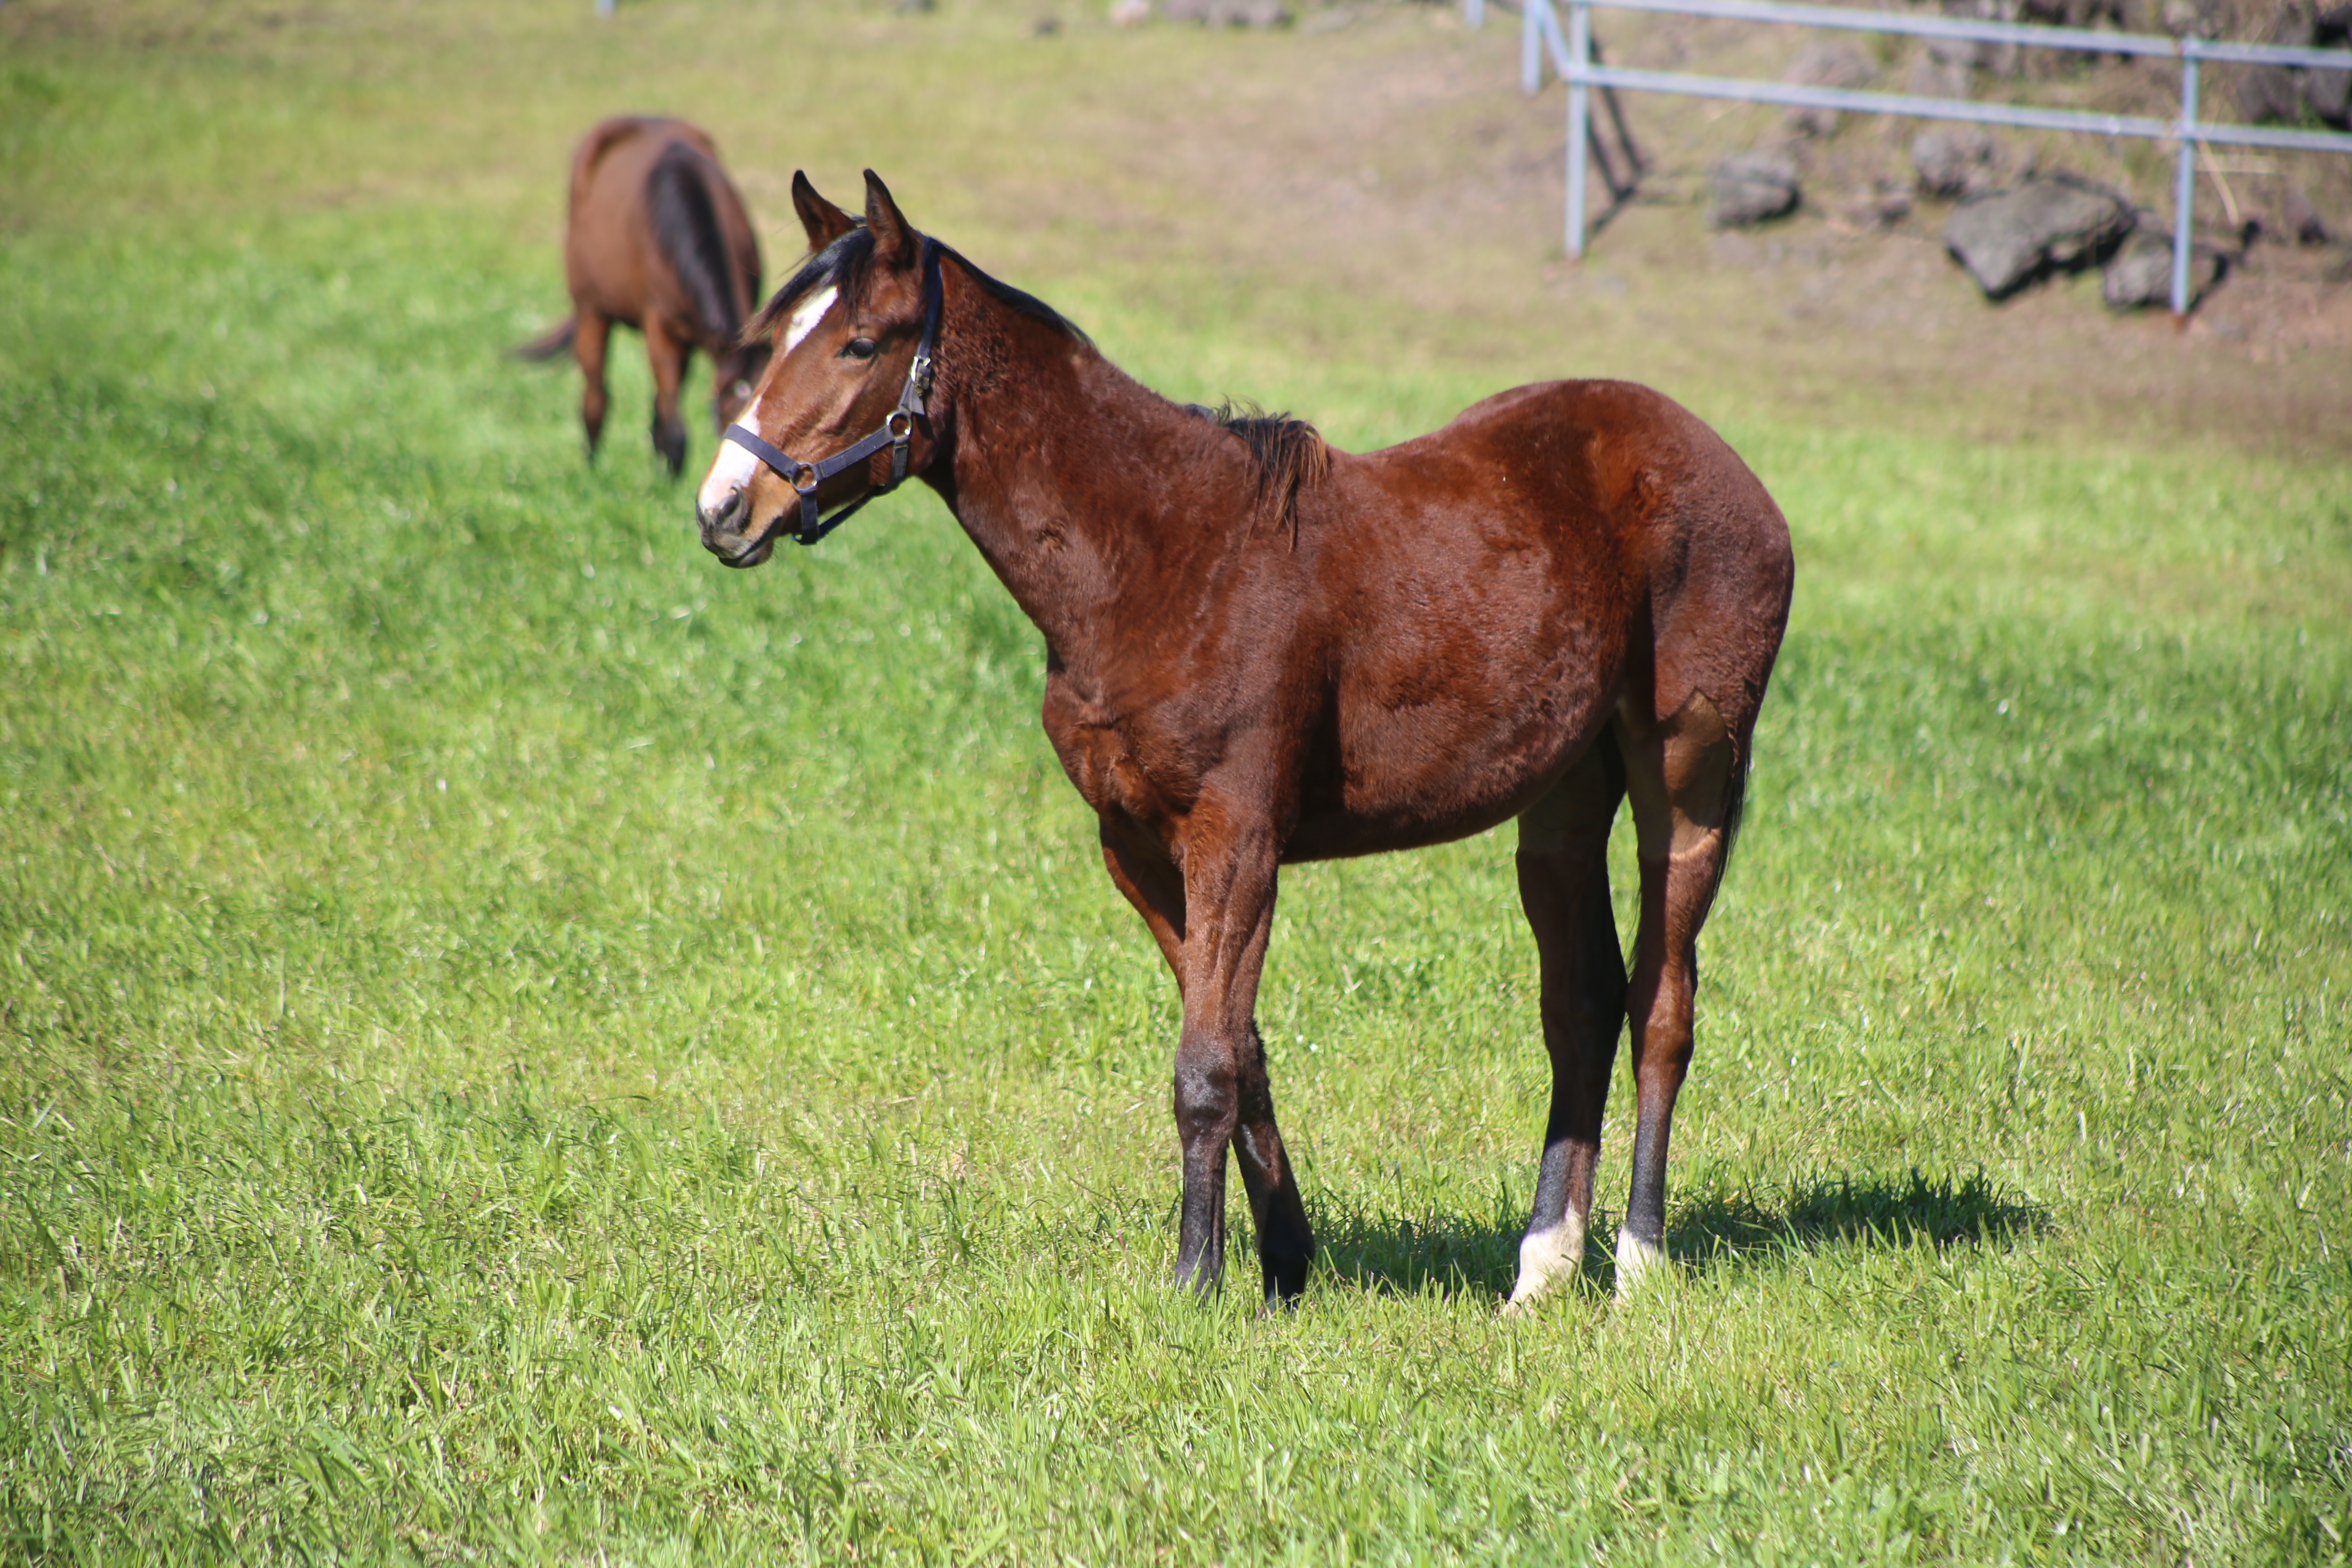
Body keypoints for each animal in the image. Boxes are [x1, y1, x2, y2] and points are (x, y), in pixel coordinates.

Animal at [517, 118, 766, 479]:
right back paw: (592, 470)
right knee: (596, 397)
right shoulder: (660, 325)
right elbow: (675, 429)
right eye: (740, 393)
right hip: (592, 313)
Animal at [696, 169, 1797, 1316]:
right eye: (778, 337)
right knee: (1580, 1008)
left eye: (859, 343)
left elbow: (1205, 1066)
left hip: (1686, 777)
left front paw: (1195, 1276)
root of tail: (1730, 471)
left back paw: (1637, 1261)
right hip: (1564, 797)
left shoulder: (1237, 841)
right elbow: (1241, 1045)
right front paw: (1282, 1259)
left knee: (1661, 1005)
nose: (724, 507)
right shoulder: (1139, 848)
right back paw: (1540, 1268)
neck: (1162, 556)